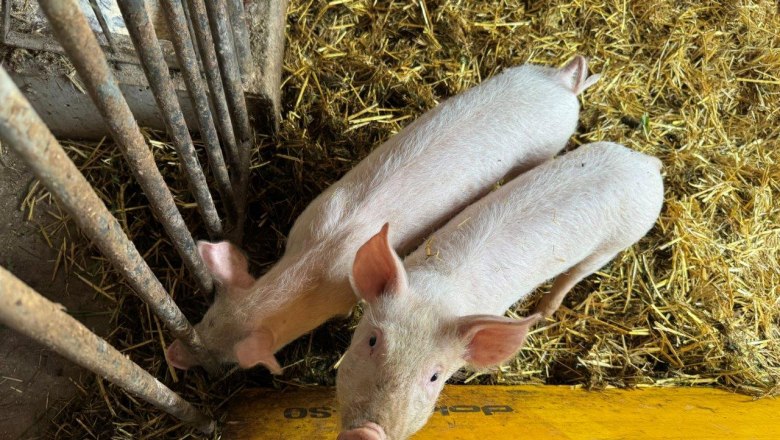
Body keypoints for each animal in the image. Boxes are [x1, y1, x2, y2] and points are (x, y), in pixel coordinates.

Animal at [166, 56, 601, 372]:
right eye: (205, 318)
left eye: (227, 361)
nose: (172, 355)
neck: (315, 257)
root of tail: (562, 82)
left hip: (549, 147)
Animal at [336, 142, 664, 440]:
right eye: (372, 340)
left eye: (434, 376)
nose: (366, 432)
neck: (440, 290)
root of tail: (646, 162)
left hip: (615, 242)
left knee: (575, 274)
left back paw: (543, 312)